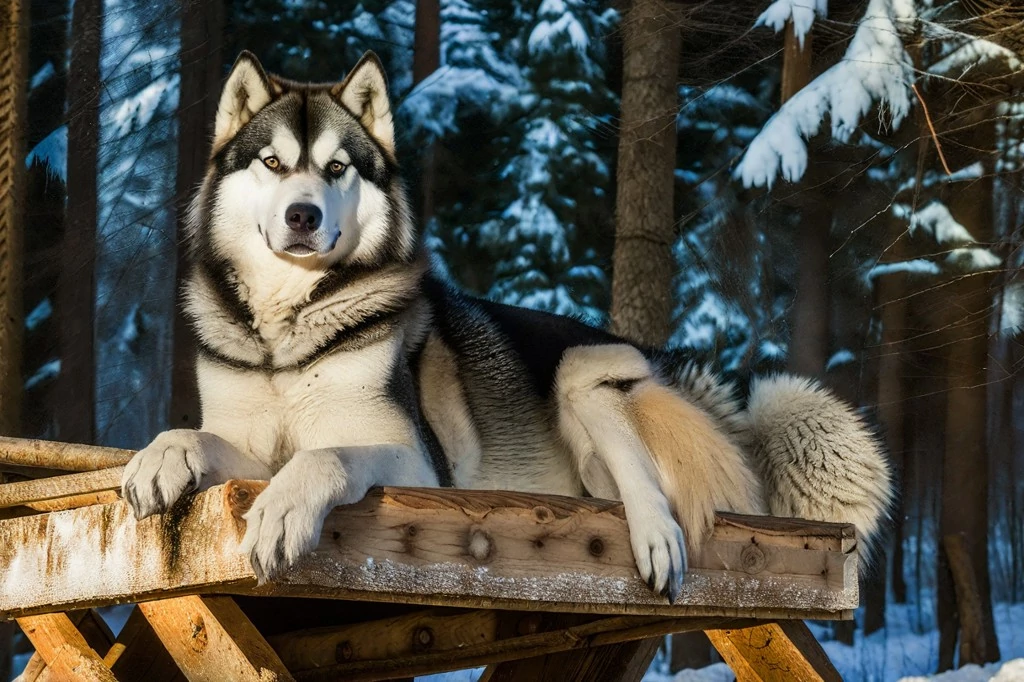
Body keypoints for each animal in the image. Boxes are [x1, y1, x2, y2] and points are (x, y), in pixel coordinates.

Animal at [117, 50, 888, 598]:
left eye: (337, 169)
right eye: (273, 163)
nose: (302, 215)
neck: (289, 333)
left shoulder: (416, 463)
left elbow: (327, 455)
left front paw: (284, 510)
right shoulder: (251, 444)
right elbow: (205, 439)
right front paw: (161, 456)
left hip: (585, 370)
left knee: (646, 483)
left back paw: (655, 538)